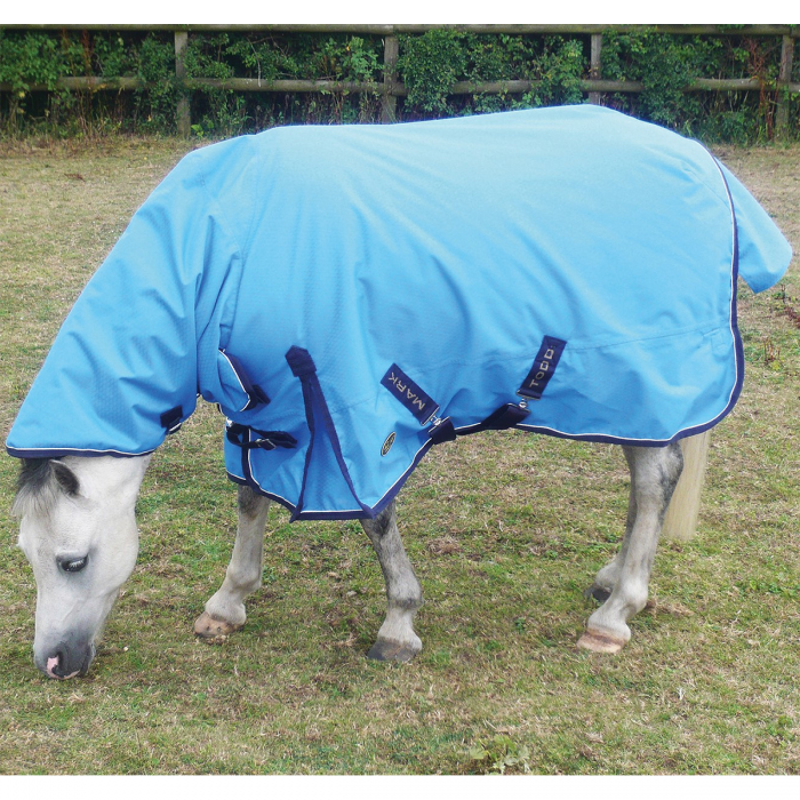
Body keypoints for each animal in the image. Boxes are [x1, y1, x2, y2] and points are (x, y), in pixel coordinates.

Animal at [7, 107, 791, 679]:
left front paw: (399, 624)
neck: (228, 239)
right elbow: (251, 497)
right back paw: (614, 581)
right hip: (628, 393)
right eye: (26, 554)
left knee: (655, 480)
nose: (52, 664)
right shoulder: (262, 408)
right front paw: (227, 604)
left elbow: (374, 517)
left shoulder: (351, 406)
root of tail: (704, 162)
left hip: (649, 377)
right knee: (650, 478)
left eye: (72, 560)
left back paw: (614, 615)